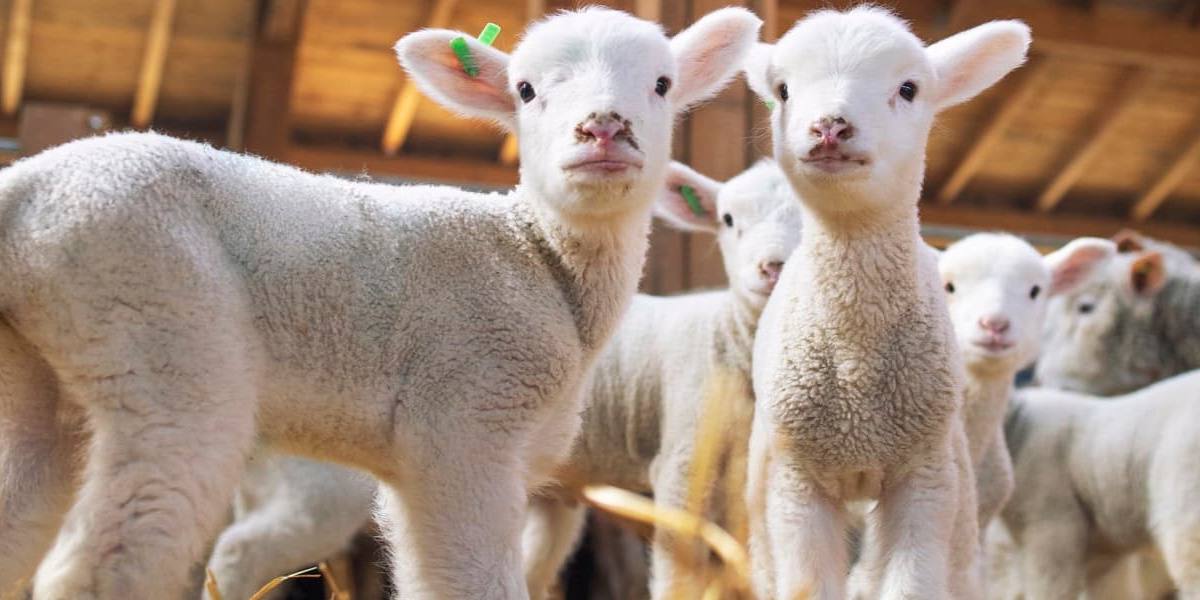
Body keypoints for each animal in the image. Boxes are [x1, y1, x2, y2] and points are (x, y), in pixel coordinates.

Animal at [0, 7, 762, 598]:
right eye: (524, 89)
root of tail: (25, 190)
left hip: (47, 370)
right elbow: (477, 582)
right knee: (107, 561)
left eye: (662, 84)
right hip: (158, 328)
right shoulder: (465, 420)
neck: (537, 256)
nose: (603, 129)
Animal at [741, 7, 1030, 599]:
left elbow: (911, 583)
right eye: (783, 91)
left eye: (908, 88)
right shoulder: (797, 480)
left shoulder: (922, 477)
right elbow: (807, 584)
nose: (830, 127)